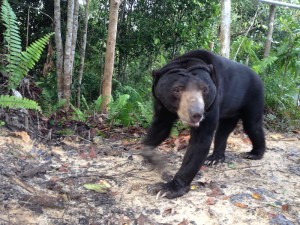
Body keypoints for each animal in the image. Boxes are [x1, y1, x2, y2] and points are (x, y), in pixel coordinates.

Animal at [142, 49, 266, 199]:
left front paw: (166, 188)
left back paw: (254, 154)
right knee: (223, 131)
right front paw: (149, 155)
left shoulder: (212, 103)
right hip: (230, 110)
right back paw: (214, 158)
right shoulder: (162, 104)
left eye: (205, 90)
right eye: (177, 89)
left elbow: (200, 141)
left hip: (254, 96)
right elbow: (160, 127)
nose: (196, 114)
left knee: (252, 125)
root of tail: (258, 76)